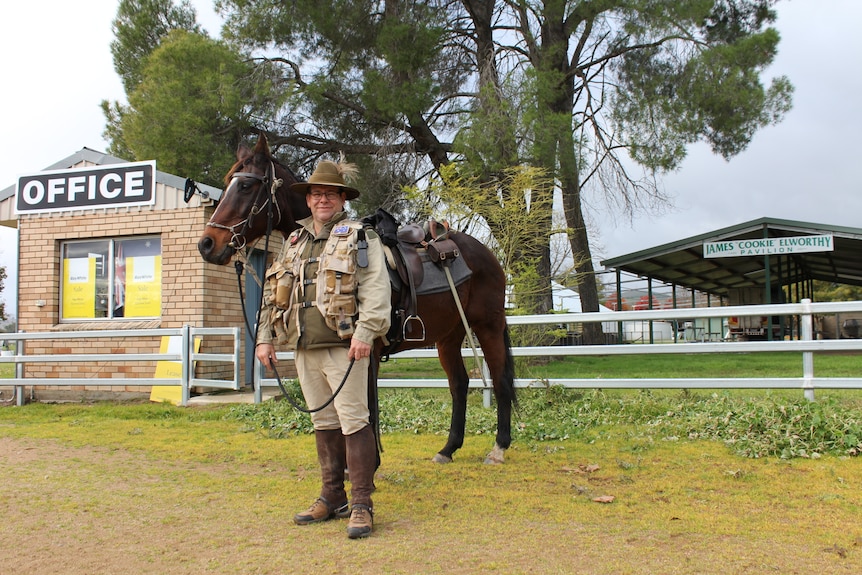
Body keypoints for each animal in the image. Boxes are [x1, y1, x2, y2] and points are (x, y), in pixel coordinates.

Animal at [199, 135, 516, 464]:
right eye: (228, 182)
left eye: (247, 185)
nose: (207, 244)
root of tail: (485, 253)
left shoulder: (366, 355)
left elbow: (366, 413)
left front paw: (369, 465)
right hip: (449, 336)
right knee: (459, 384)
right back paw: (448, 448)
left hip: (488, 326)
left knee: (501, 381)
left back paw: (499, 447)